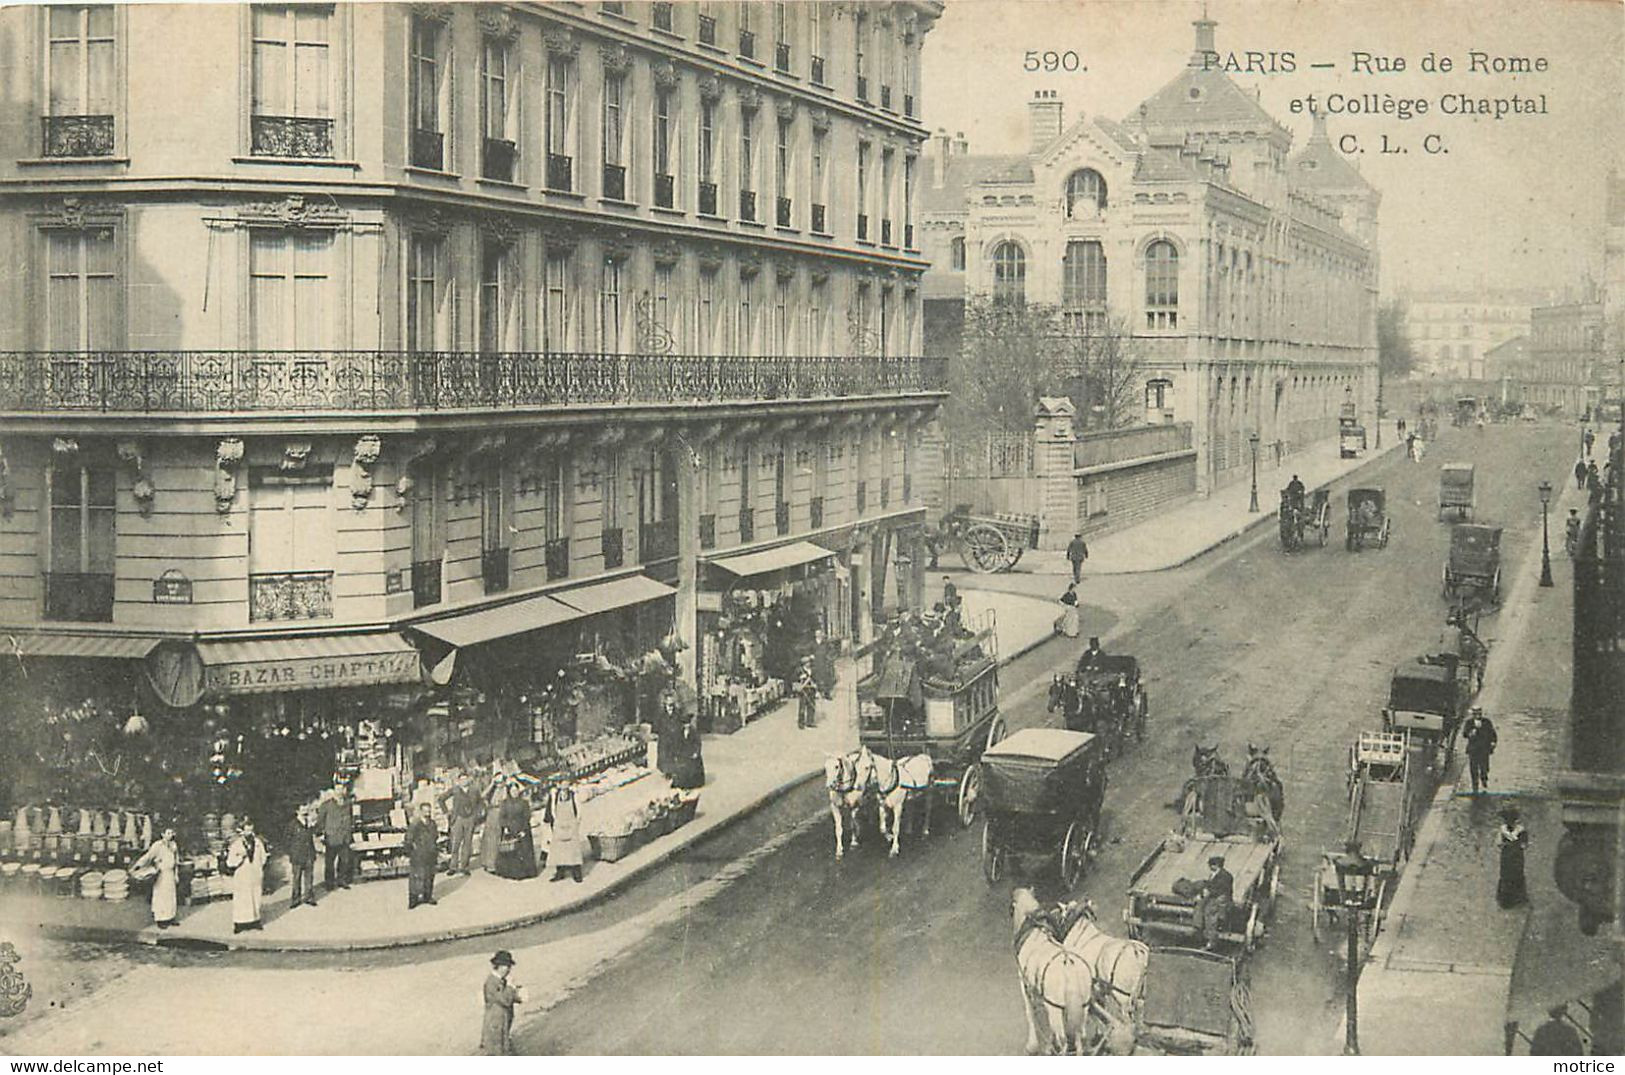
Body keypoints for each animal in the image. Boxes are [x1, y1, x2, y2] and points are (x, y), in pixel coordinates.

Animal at [1007, 889, 1098, 1058]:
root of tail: (1069, 967)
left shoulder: (1024, 984)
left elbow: (1030, 1013)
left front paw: (1033, 1045)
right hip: (1082, 1008)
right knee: (1079, 1037)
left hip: (1056, 1011)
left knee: (1064, 1041)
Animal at [1059, 896, 1150, 1058]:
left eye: (1064, 915)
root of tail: (1138, 954)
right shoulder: (1099, 986)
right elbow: (1101, 1005)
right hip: (1141, 994)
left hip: (1123, 998)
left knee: (1128, 1019)